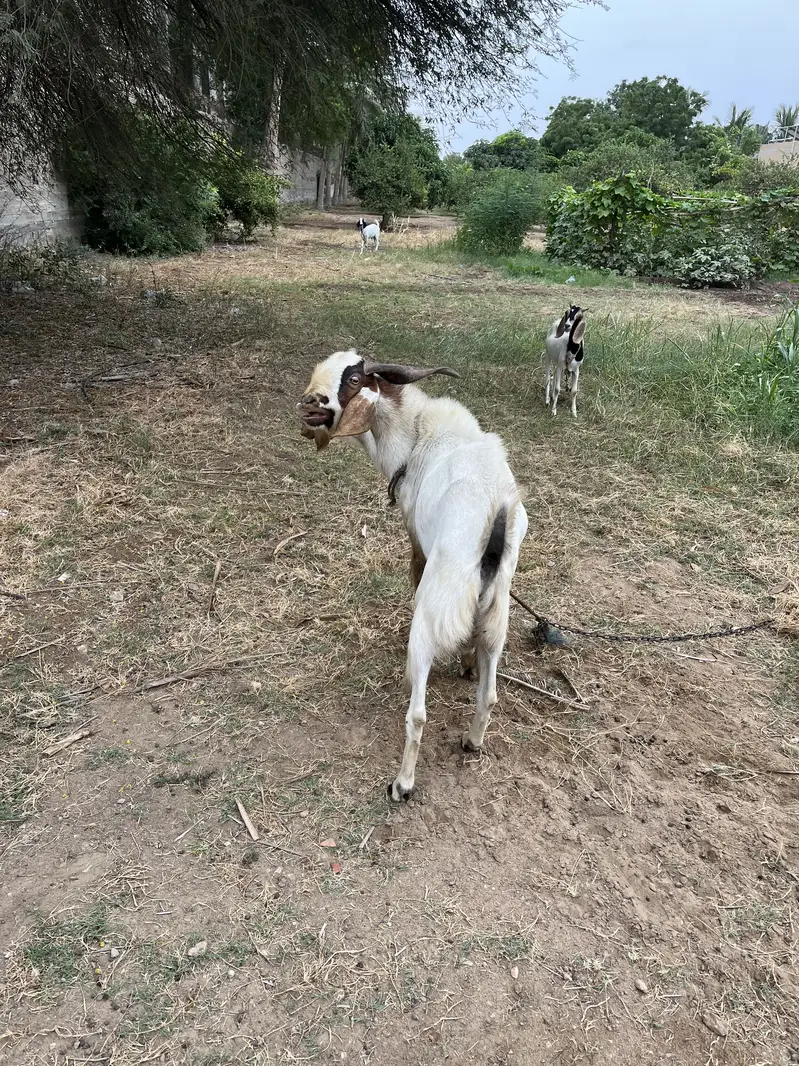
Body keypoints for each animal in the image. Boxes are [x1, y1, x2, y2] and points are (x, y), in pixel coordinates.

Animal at [298, 350, 528, 801]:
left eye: (353, 379)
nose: (310, 402)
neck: (416, 436)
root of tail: (497, 509)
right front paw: (465, 664)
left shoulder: (418, 544)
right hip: (497, 609)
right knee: (490, 693)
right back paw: (472, 740)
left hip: (434, 607)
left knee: (419, 714)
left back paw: (402, 784)